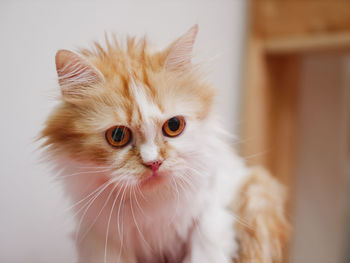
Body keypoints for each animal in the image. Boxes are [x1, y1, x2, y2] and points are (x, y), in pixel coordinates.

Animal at [40, 25, 290, 263]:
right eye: (118, 136)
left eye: (174, 126)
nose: (154, 163)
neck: (152, 208)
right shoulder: (100, 239)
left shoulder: (218, 206)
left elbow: (204, 249)